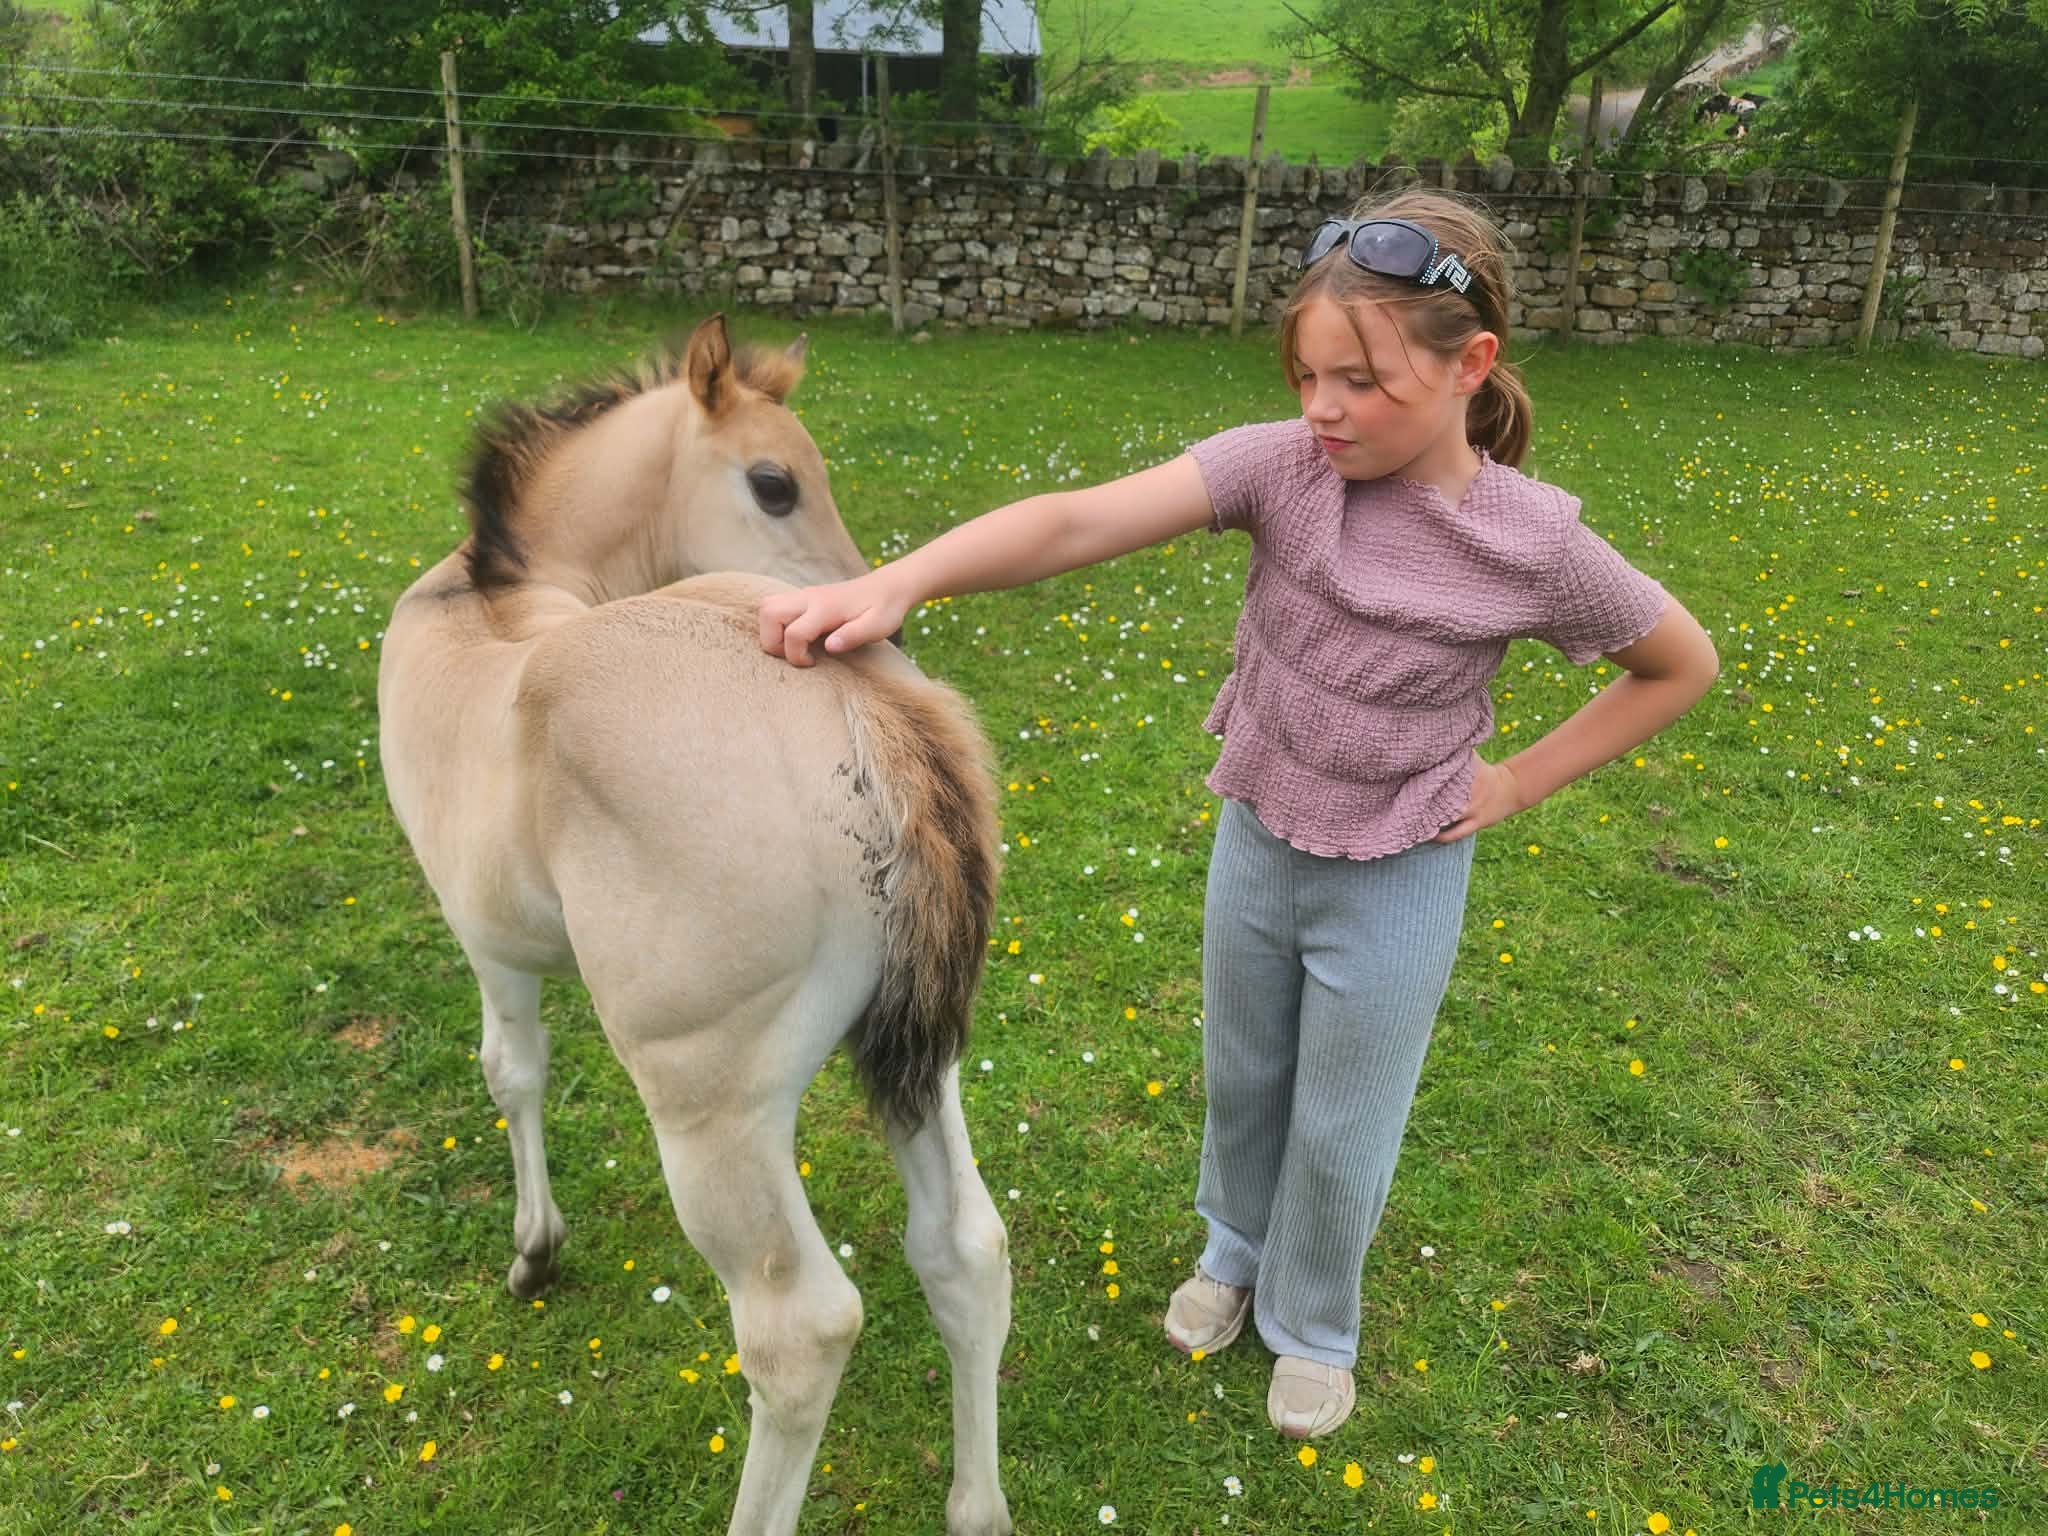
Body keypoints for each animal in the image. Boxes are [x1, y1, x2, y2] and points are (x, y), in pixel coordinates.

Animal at [376, 315, 1013, 1536]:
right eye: (775, 482)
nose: (876, 602)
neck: (499, 601)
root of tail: (860, 706)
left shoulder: (488, 944)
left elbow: (511, 1073)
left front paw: (534, 1252)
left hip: (714, 1114)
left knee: (799, 1334)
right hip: (918, 1054)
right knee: (966, 1249)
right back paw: (979, 1507)